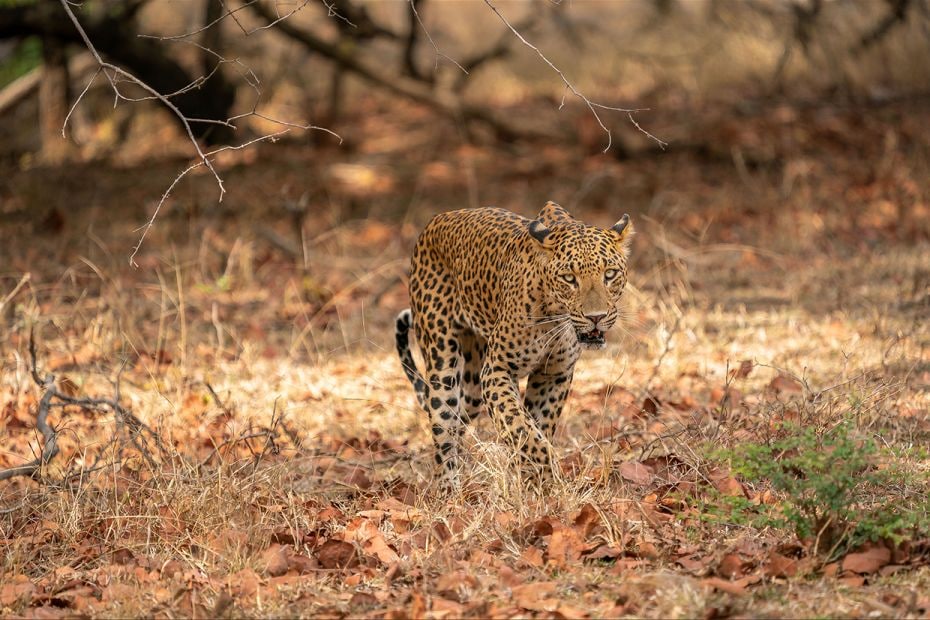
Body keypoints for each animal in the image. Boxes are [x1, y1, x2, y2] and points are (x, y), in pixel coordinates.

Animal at [392, 202, 632, 484]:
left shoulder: (554, 374)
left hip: (473, 386)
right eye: (569, 278)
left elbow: (538, 423)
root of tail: (436, 220)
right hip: (443, 363)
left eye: (610, 274)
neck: (554, 317)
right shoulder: (497, 370)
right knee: (444, 434)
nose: (596, 317)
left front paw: (538, 481)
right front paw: (544, 466)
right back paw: (449, 488)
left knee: (461, 420)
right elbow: (518, 425)